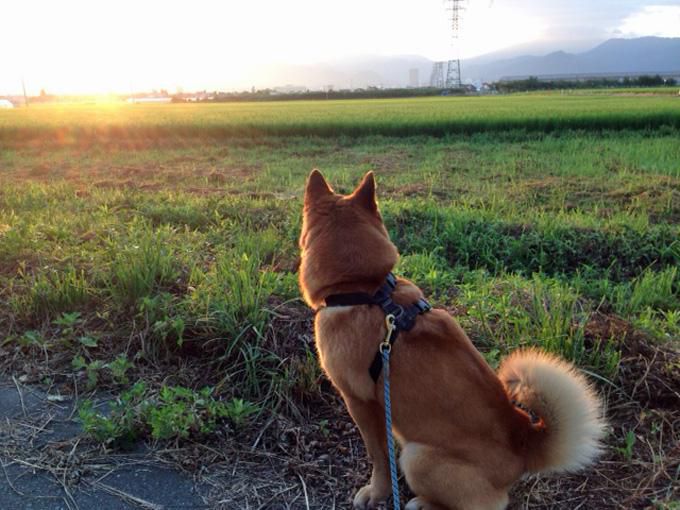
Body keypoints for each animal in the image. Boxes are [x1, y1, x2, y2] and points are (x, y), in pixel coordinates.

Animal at [298, 170, 604, 510]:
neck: (367, 289)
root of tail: (523, 439)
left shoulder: (361, 402)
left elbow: (379, 457)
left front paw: (377, 491)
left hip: (417, 456)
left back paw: (422, 503)